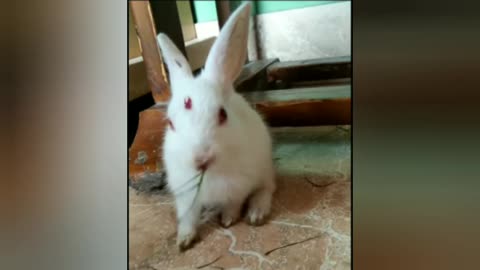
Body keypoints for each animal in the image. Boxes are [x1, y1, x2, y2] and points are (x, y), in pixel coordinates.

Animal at [158, 2, 276, 251]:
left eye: (222, 115)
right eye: (171, 124)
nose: (201, 159)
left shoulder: (238, 187)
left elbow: (233, 204)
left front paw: (228, 220)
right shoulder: (186, 196)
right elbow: (188, 217)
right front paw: (183, 241)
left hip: (264, 170)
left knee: (267, 188)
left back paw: (256, 213)